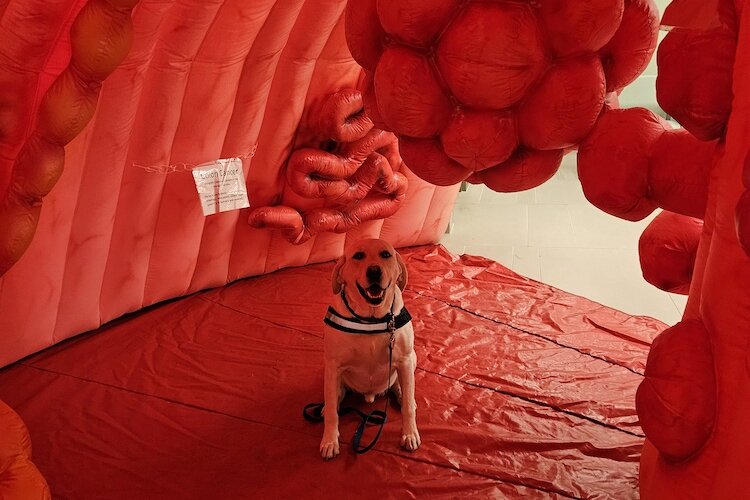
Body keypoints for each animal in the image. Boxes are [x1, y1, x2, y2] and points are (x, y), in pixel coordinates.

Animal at [318, 238, 420, 458]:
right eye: (358, 256)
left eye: (386, 255)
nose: (374, 271)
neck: (371, 317)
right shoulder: (333, 364)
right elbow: (332, 411)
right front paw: (330, 440)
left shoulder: (405, 360)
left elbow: (408, 407)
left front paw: (409, 434)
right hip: (329, 371)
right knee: (334, 396)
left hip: (412, 359)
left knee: (402, 387)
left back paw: (403, 392)